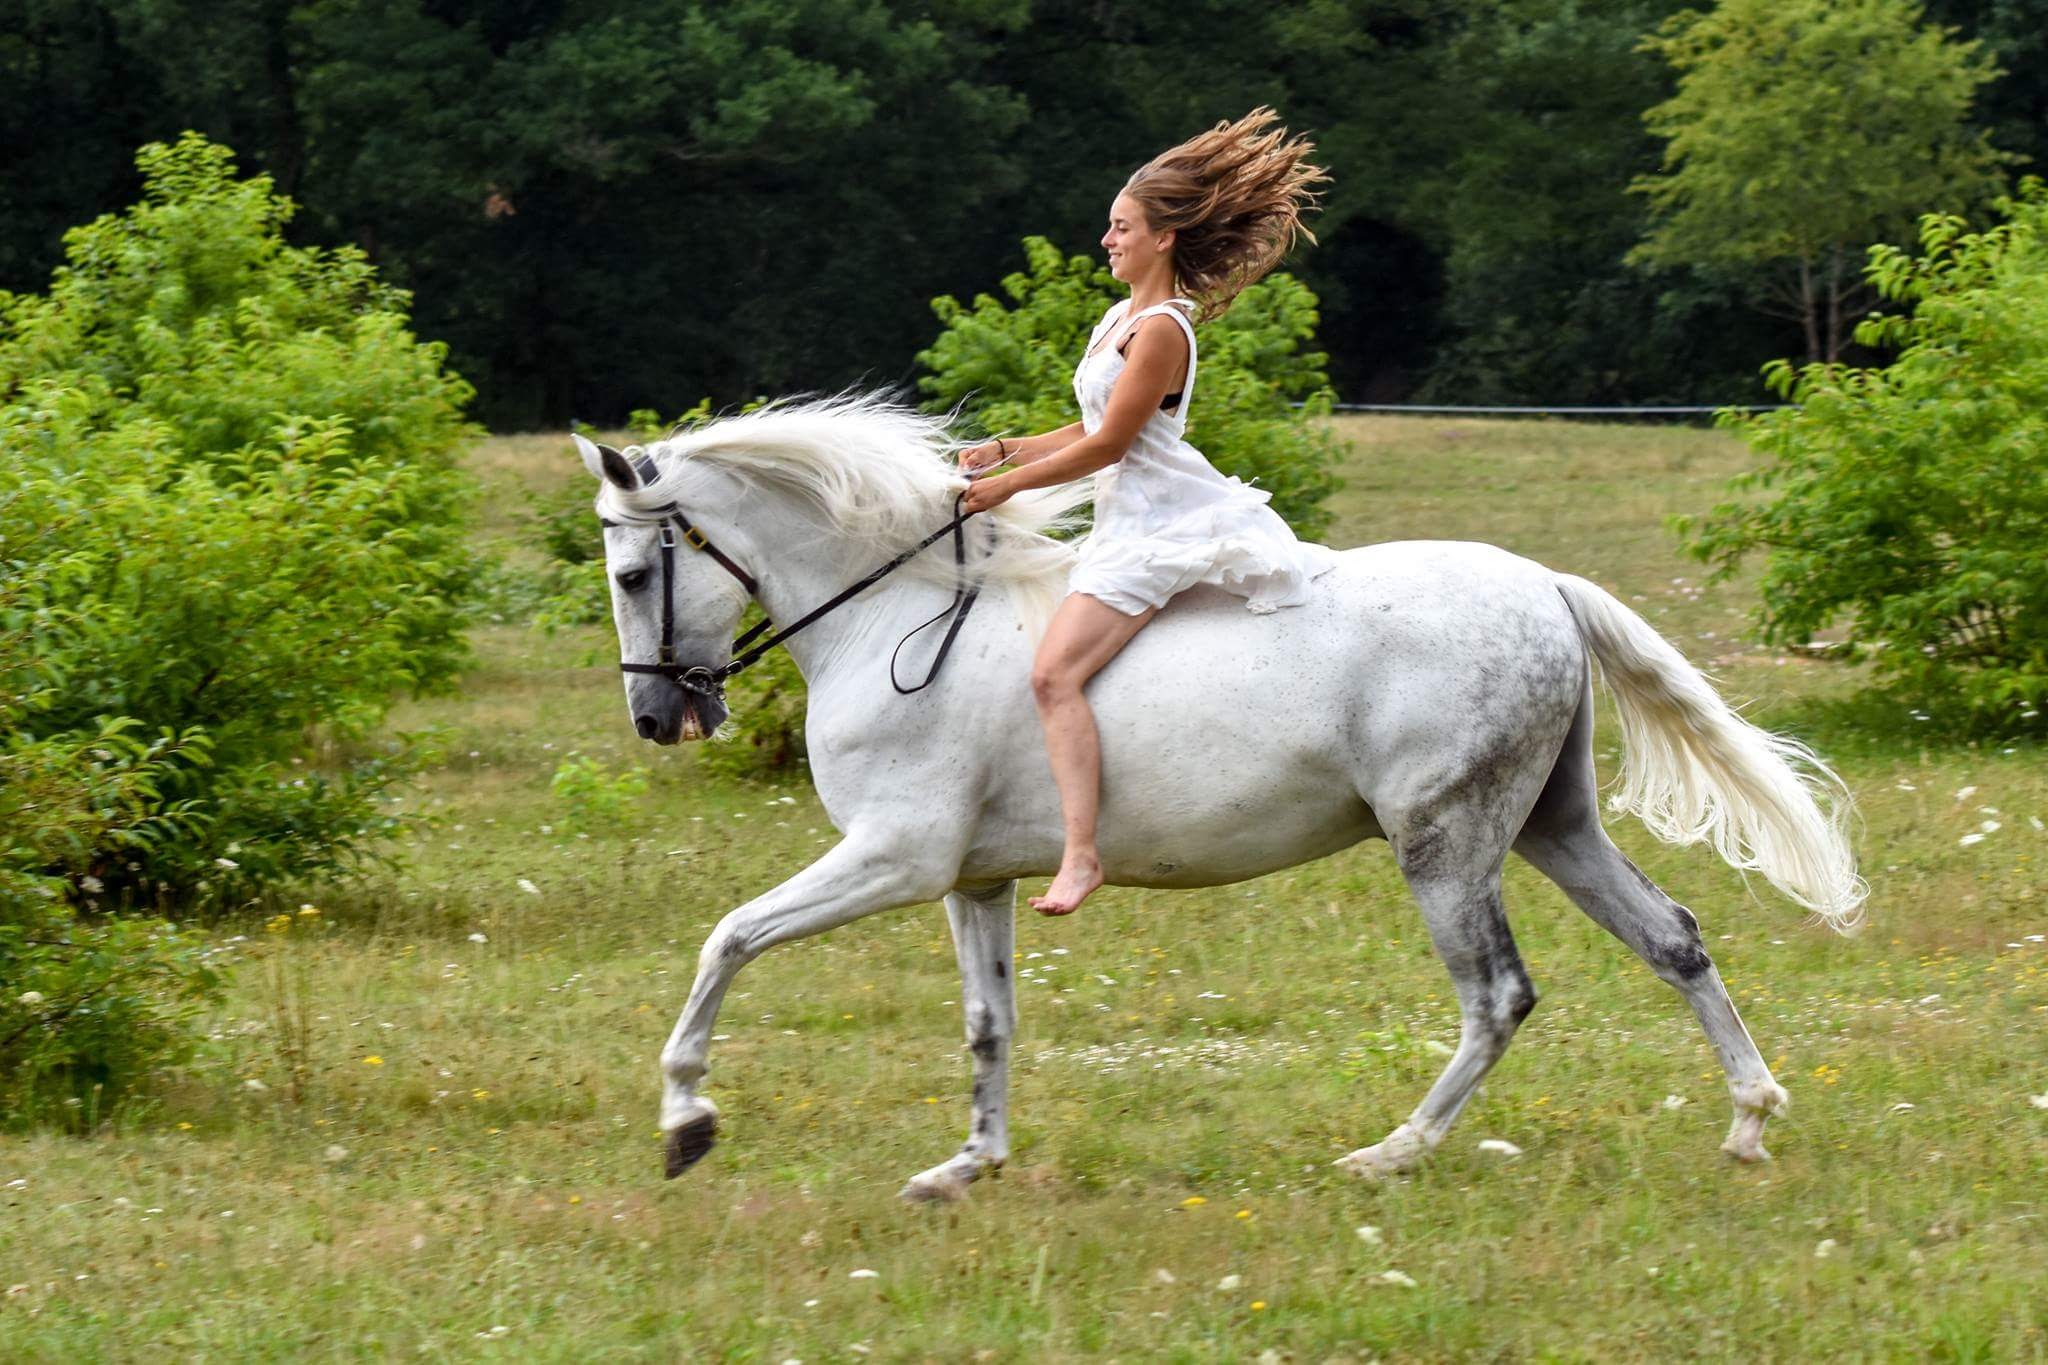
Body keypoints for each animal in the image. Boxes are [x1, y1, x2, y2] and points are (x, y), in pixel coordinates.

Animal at [569, 392, 1867, 1195]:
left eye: (631, 574)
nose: (656, 721)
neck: (893, 619)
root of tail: (1541, 584)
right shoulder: (970, 879)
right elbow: (989, 1023)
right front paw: (966, 1169)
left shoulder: (895, 857)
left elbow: (729, 938)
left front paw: (685, 1122)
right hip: (1551, 824)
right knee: (1673, 939)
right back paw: (1747, 1123)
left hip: (1442, 840)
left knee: (1496, 995)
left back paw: (1390, 1154)